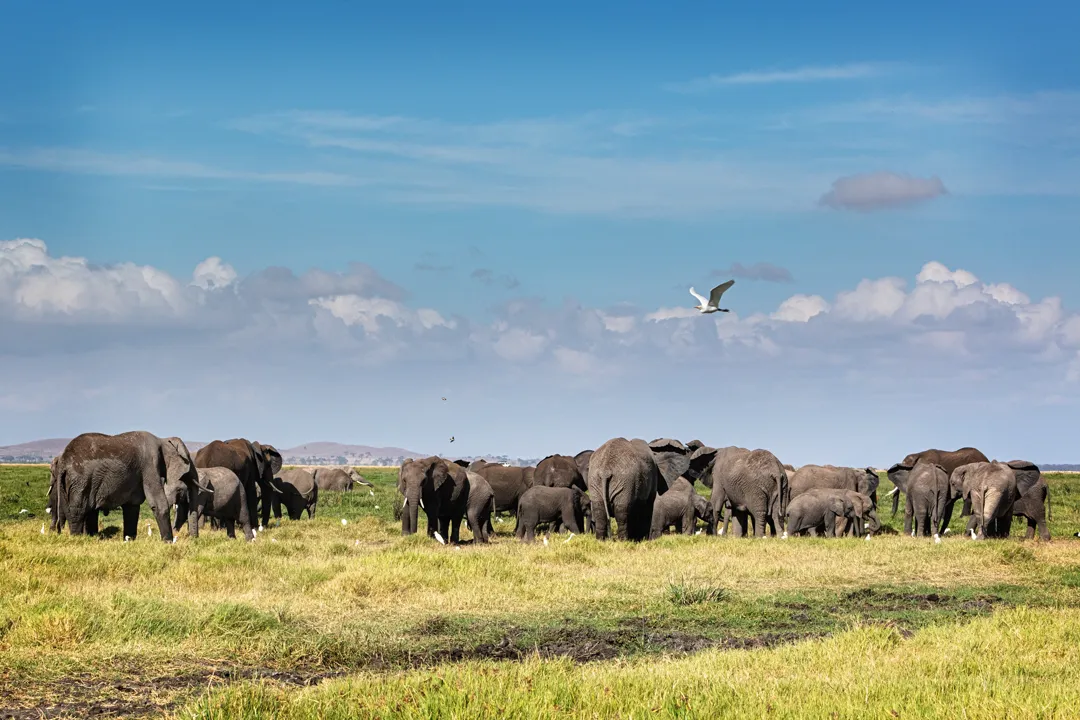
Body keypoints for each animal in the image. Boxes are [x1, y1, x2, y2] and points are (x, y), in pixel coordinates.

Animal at [52, 431, 195, 541]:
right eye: (188, 459)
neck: (162, 440)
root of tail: (63, 461)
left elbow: (132, 507)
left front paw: (129, 540)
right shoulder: (150, 464)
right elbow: (158, 503)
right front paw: (168, 543)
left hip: (67, 483)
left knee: (70, 509)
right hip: (80, 480)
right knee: (78, 510)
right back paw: (77, 539)